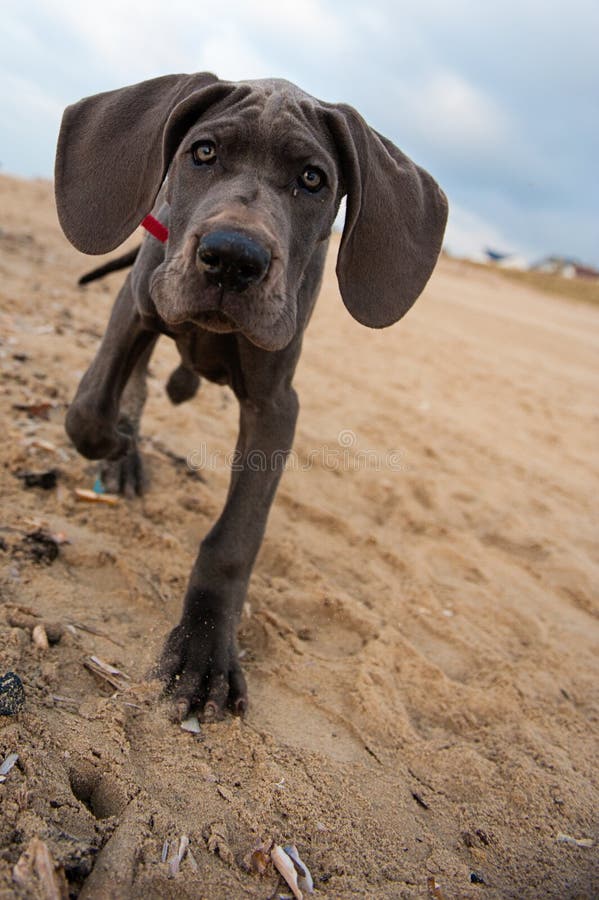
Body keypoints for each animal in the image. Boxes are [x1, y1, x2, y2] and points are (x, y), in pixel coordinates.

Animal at [56, 70, 448, 720]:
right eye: (203, 152)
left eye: (312, 179)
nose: (233, 259)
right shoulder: (136, 306)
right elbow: (88, 410)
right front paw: (116, 445)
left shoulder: (275, 406)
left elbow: (235, 538)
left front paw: (203, 651)